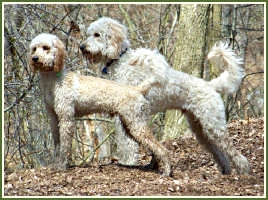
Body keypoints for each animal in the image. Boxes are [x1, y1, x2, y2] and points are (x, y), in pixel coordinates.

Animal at [29, 33, 174, 175]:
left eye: (46, 47)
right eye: (34, 48)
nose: (35, 58)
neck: (54, 80)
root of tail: (137, 89)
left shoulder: (66, 119)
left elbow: (65, 146)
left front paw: (62, 166)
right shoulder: (54, 119)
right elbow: (57, 145)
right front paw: (55, 164)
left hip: (136, 125)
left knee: (161, 149)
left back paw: (166, 171)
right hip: (130, 126)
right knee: (155, 147)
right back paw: (154, 166)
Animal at [80, 17, 251, 175]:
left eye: (97, 34)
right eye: (89, 33)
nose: (81, 47)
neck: (121, 60)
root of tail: (210, 85)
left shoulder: (127, 113)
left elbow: (126, 143)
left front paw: (127, 162)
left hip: (214, 125)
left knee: (234, 152)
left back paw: (244, 171)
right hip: (201, 129)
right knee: (220, 153)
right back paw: (226, 171)